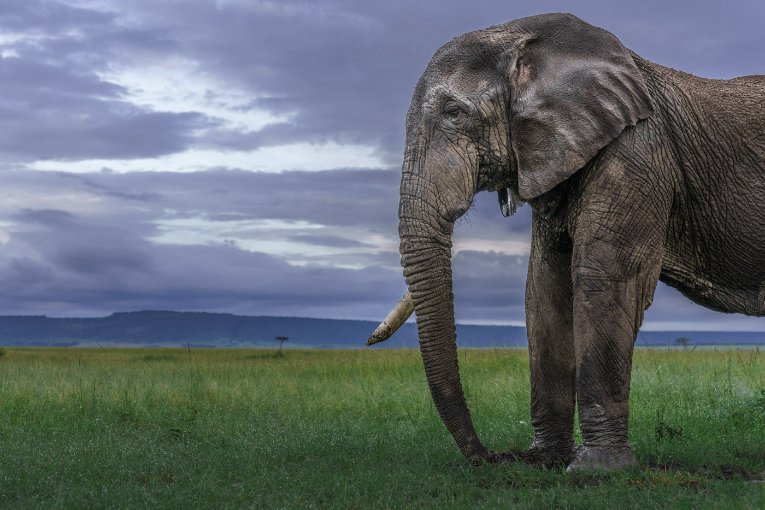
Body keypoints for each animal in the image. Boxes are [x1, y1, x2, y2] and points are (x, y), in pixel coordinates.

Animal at [368, 12, 764, 474]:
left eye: (454, 113)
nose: (490, 457)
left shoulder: (638, 150)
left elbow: (602, 278)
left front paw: (596, 471)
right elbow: (544, 288)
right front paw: (544, 461)